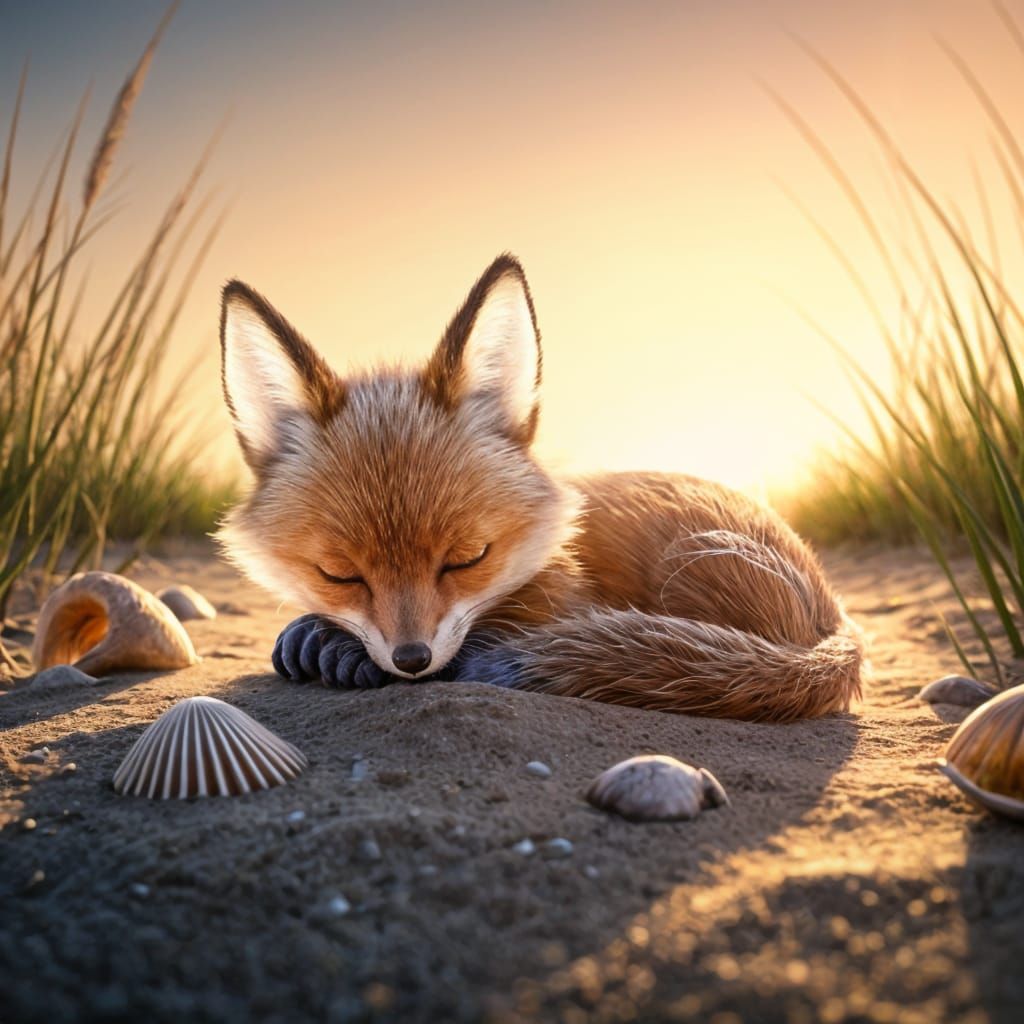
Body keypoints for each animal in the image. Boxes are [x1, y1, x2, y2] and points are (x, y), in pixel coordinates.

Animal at [217, 254, 863, 722]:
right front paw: (316, 634)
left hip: (688, 560)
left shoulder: (570, 601)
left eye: (468, 558)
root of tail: (835, 615)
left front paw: (339, 646)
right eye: (339, 574)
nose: (412, 660)